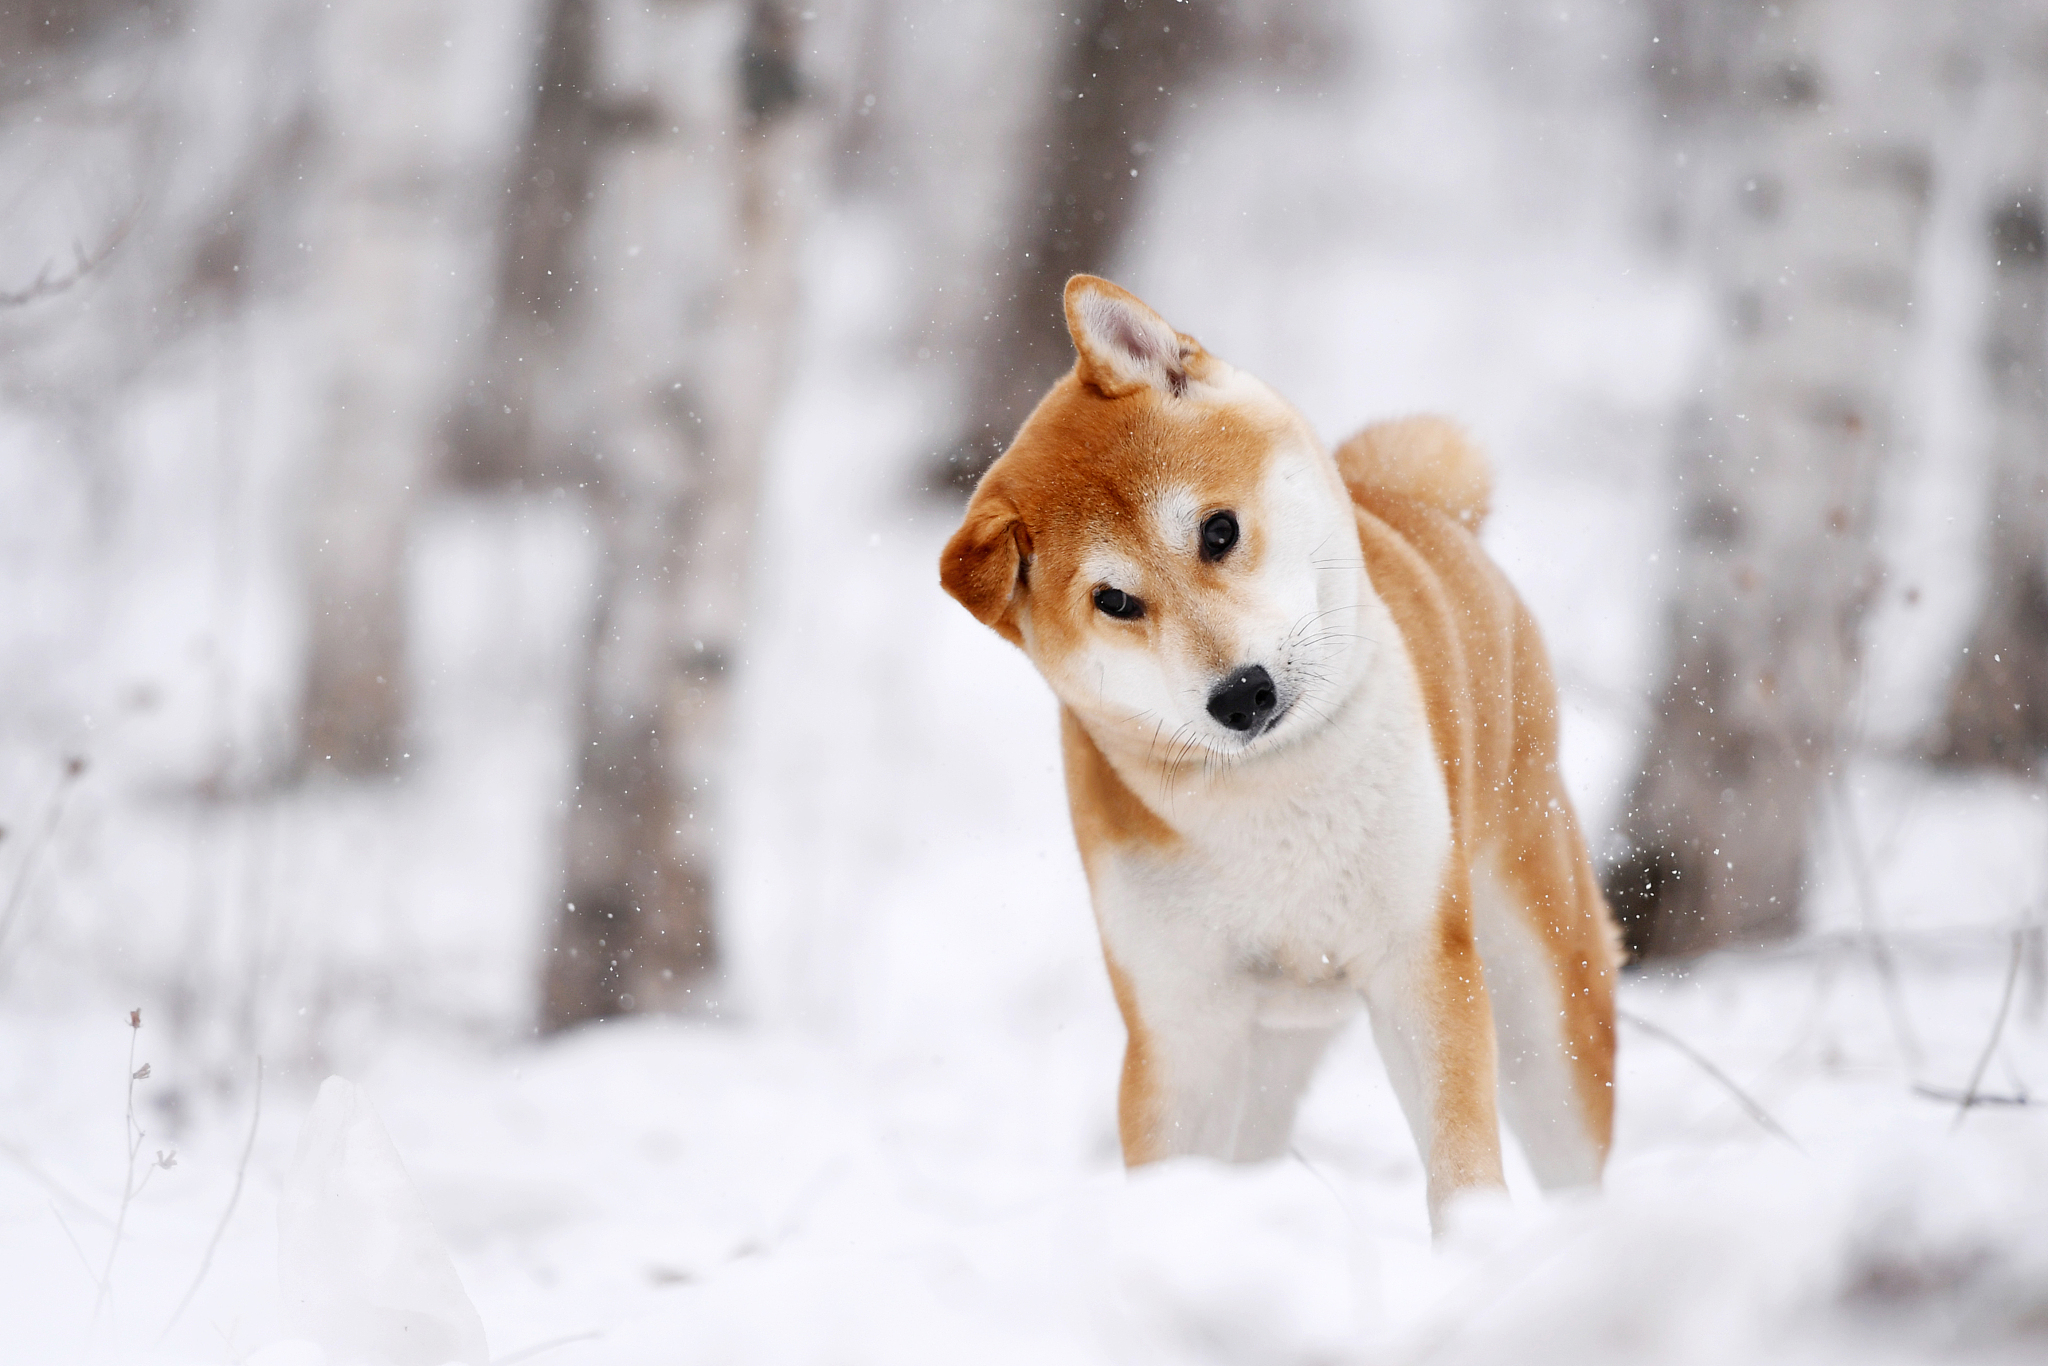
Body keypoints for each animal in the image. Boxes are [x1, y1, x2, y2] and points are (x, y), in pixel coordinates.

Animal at [937, 278, 1613, 1228]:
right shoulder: (1183, 1024)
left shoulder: (1419, 963)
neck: (1273, 796)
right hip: (1263, 1062)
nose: (1241, 694)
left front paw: (1473, 1249)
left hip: (1541, 1005)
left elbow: (1460, 1162)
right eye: (1114, 600)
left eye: (1218, 531)